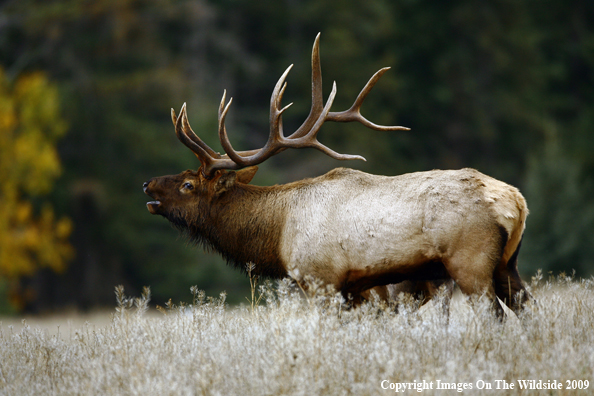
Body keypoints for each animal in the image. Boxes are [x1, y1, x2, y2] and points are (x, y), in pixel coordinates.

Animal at [145, 34, 532, 318]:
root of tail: (517, 200)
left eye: (188, 184)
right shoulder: (355, 290)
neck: (277, 234)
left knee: (495, 316)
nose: (147, 183)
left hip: (470, 261)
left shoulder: (322, 278)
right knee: (526, 308)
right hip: (506, 264)